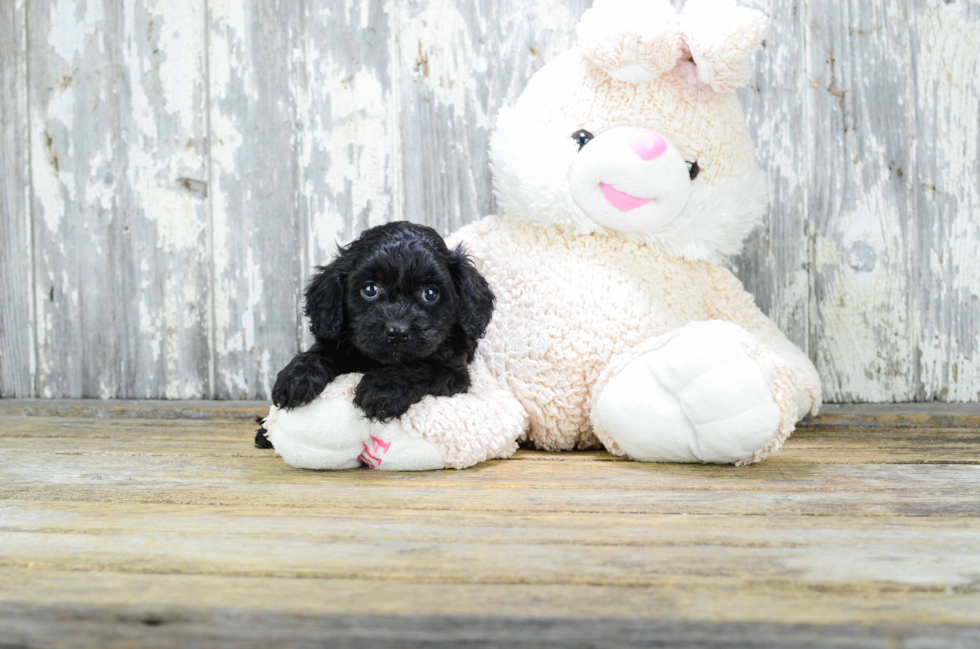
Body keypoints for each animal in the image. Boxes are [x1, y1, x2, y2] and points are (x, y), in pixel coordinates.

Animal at [256, 220, 494, 448]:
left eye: (430, 293)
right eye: (370, 290)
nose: (397, 332)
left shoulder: (455, 371)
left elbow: (420, 367)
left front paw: (383, 388)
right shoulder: (340, 343)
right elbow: (321, 352)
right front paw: (296, 376)